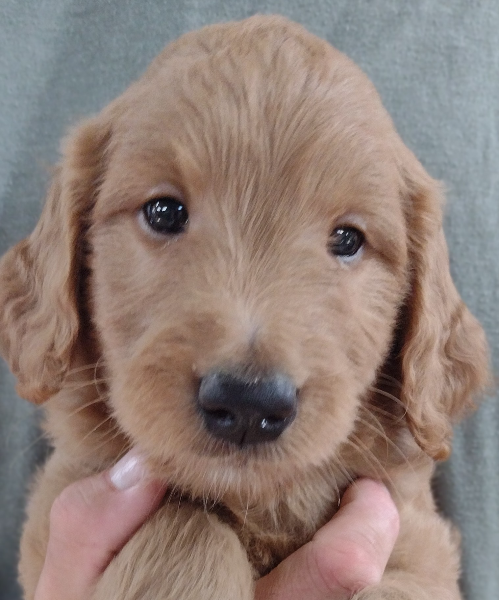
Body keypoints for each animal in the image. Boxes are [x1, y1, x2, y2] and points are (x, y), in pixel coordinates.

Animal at [0, 14, 488, 600]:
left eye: (348, 239)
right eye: (163, 212)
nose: (249, 403)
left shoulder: (418, 538)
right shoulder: (61, 498)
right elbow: (185, 520)